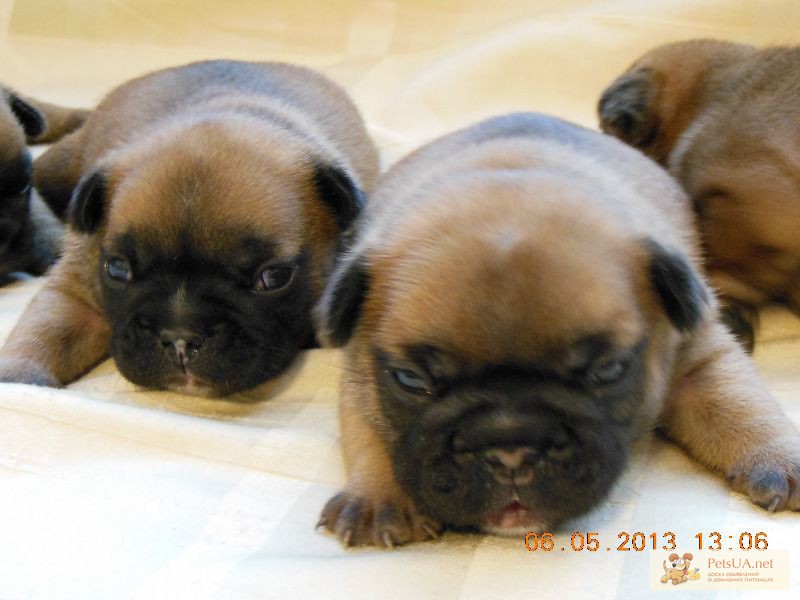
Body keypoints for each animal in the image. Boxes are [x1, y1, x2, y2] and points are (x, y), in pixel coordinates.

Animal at [316, 113, 800, 548]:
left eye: (607, 371)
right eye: (411, 380)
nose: (509, 446)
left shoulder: (695, 355)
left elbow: (739, 404)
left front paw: (779, 455)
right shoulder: (358, 375)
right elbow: (369, 432)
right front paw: (379, 498)